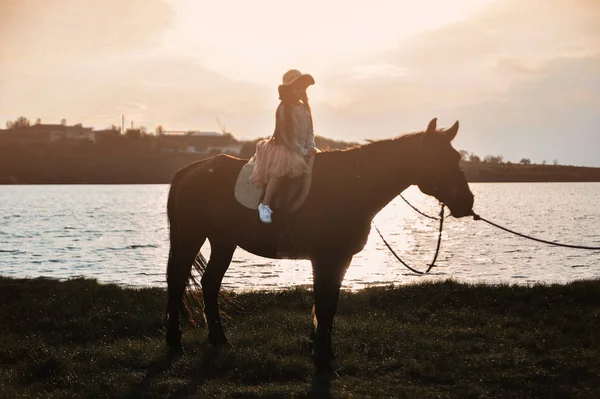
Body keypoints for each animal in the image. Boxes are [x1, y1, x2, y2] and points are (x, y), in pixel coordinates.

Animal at [164, 117, 474, 374]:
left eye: (456, 157)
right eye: (435, 158)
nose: (466, 202)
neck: (352, 186)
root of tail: (189, 170)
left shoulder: (340, 259)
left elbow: (329, 305)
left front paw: (324, 351)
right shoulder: (325, 258)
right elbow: (323, 306)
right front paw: (322, 357)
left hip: (223, 242)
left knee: (209, 284)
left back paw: (219, 340)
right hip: (190, 236)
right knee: (177, 282)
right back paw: (175, 344)